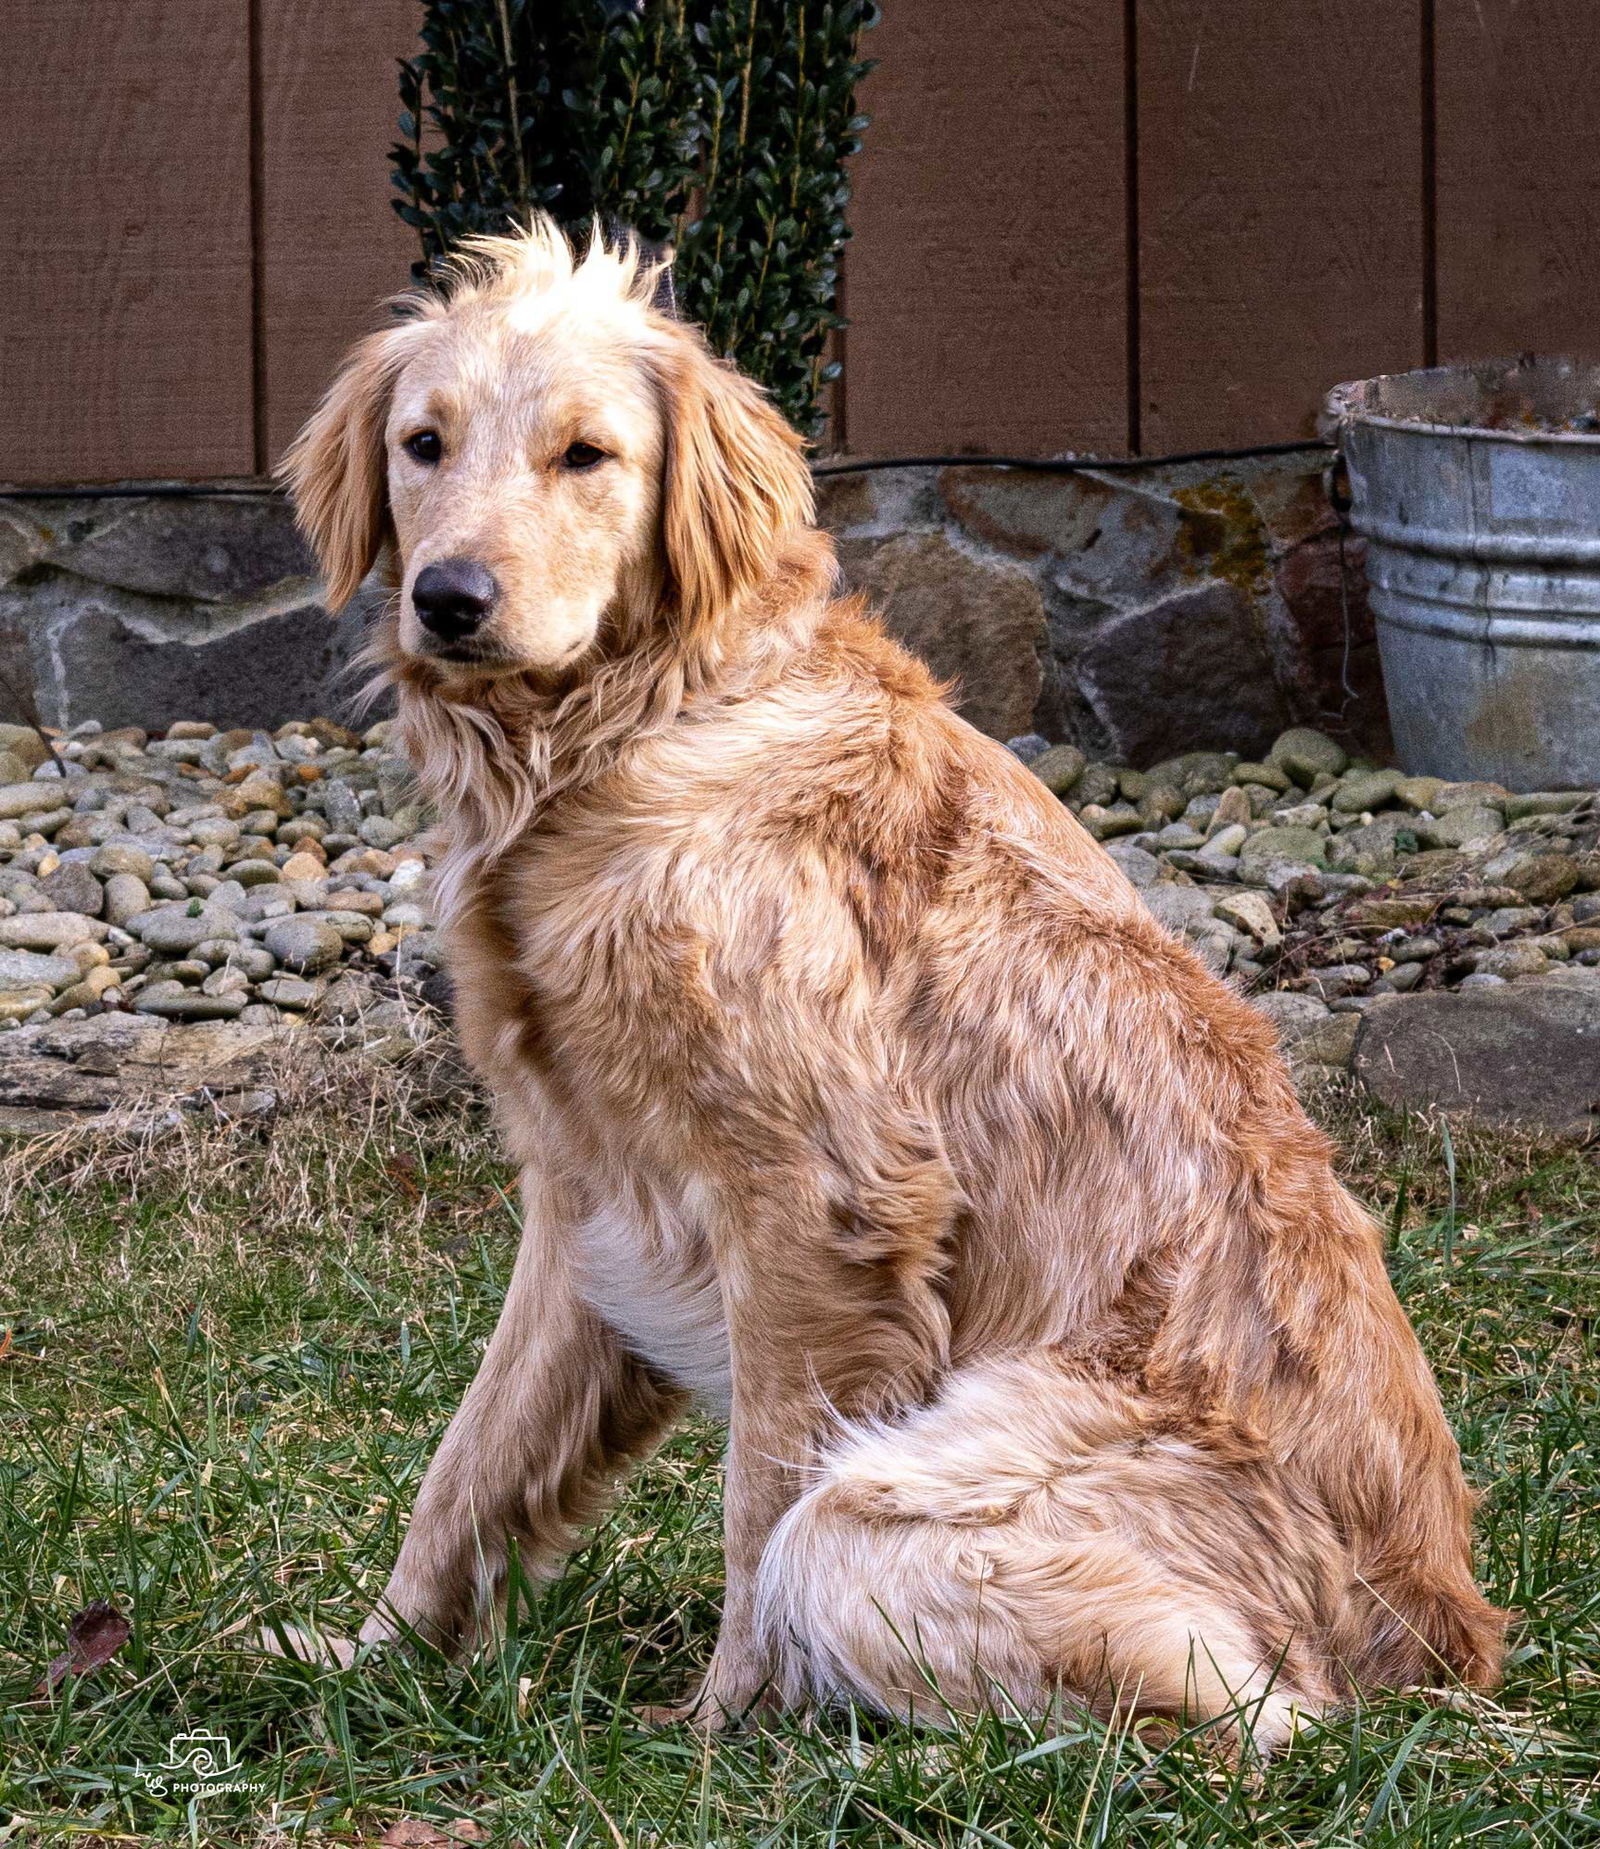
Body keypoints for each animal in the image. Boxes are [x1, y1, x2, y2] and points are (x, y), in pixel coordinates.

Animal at [286, 216, 1494, 1745]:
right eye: (424, 444)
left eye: (586, 455)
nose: (448, 599)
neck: (628, 729)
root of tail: (1438, 1642)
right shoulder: (580, 1190)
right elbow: (470, 1462)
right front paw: (372, 1659)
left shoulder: (821, 1201)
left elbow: (755, 1501)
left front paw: (720, 1725)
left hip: (892, 1508)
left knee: (1245, 1712)